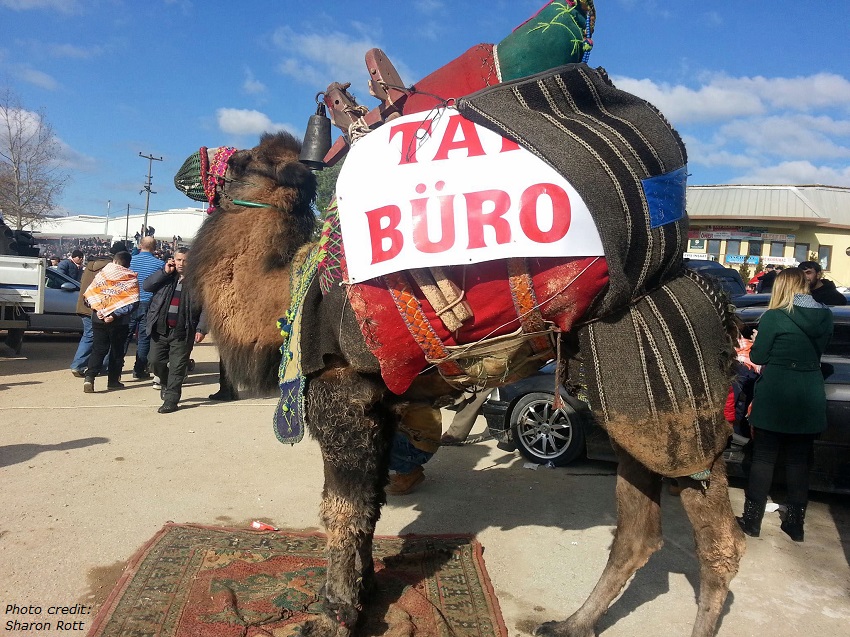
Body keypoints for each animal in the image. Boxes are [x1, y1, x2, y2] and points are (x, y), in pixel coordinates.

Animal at [179, 60, 744, 636]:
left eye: (242, 161)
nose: (189, 165)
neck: (283, 293)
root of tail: (715, 295)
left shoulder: (341, 396)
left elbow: (343, 511)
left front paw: (334, 613)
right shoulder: (383, 405)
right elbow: (371, 507)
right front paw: (366, 594)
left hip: (662, 389)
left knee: (717, 535)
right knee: (639, 532)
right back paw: (569, 624)